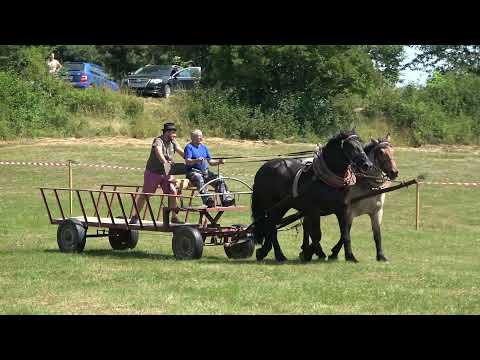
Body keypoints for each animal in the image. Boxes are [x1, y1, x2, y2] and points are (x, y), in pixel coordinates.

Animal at [253, 129, 374, 262]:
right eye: (351, 147)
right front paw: (312, 253)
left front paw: (350, 256)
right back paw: (279, 255)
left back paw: (264, 252)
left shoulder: (342, 209)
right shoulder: (314, 211)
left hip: (281, 207)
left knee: (270, 226)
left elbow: (345, 234)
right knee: (271, 227)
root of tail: (264, 168)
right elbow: (317, 235)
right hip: (273, 206)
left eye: (361, 145)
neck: (327, 180)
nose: (367, 165)